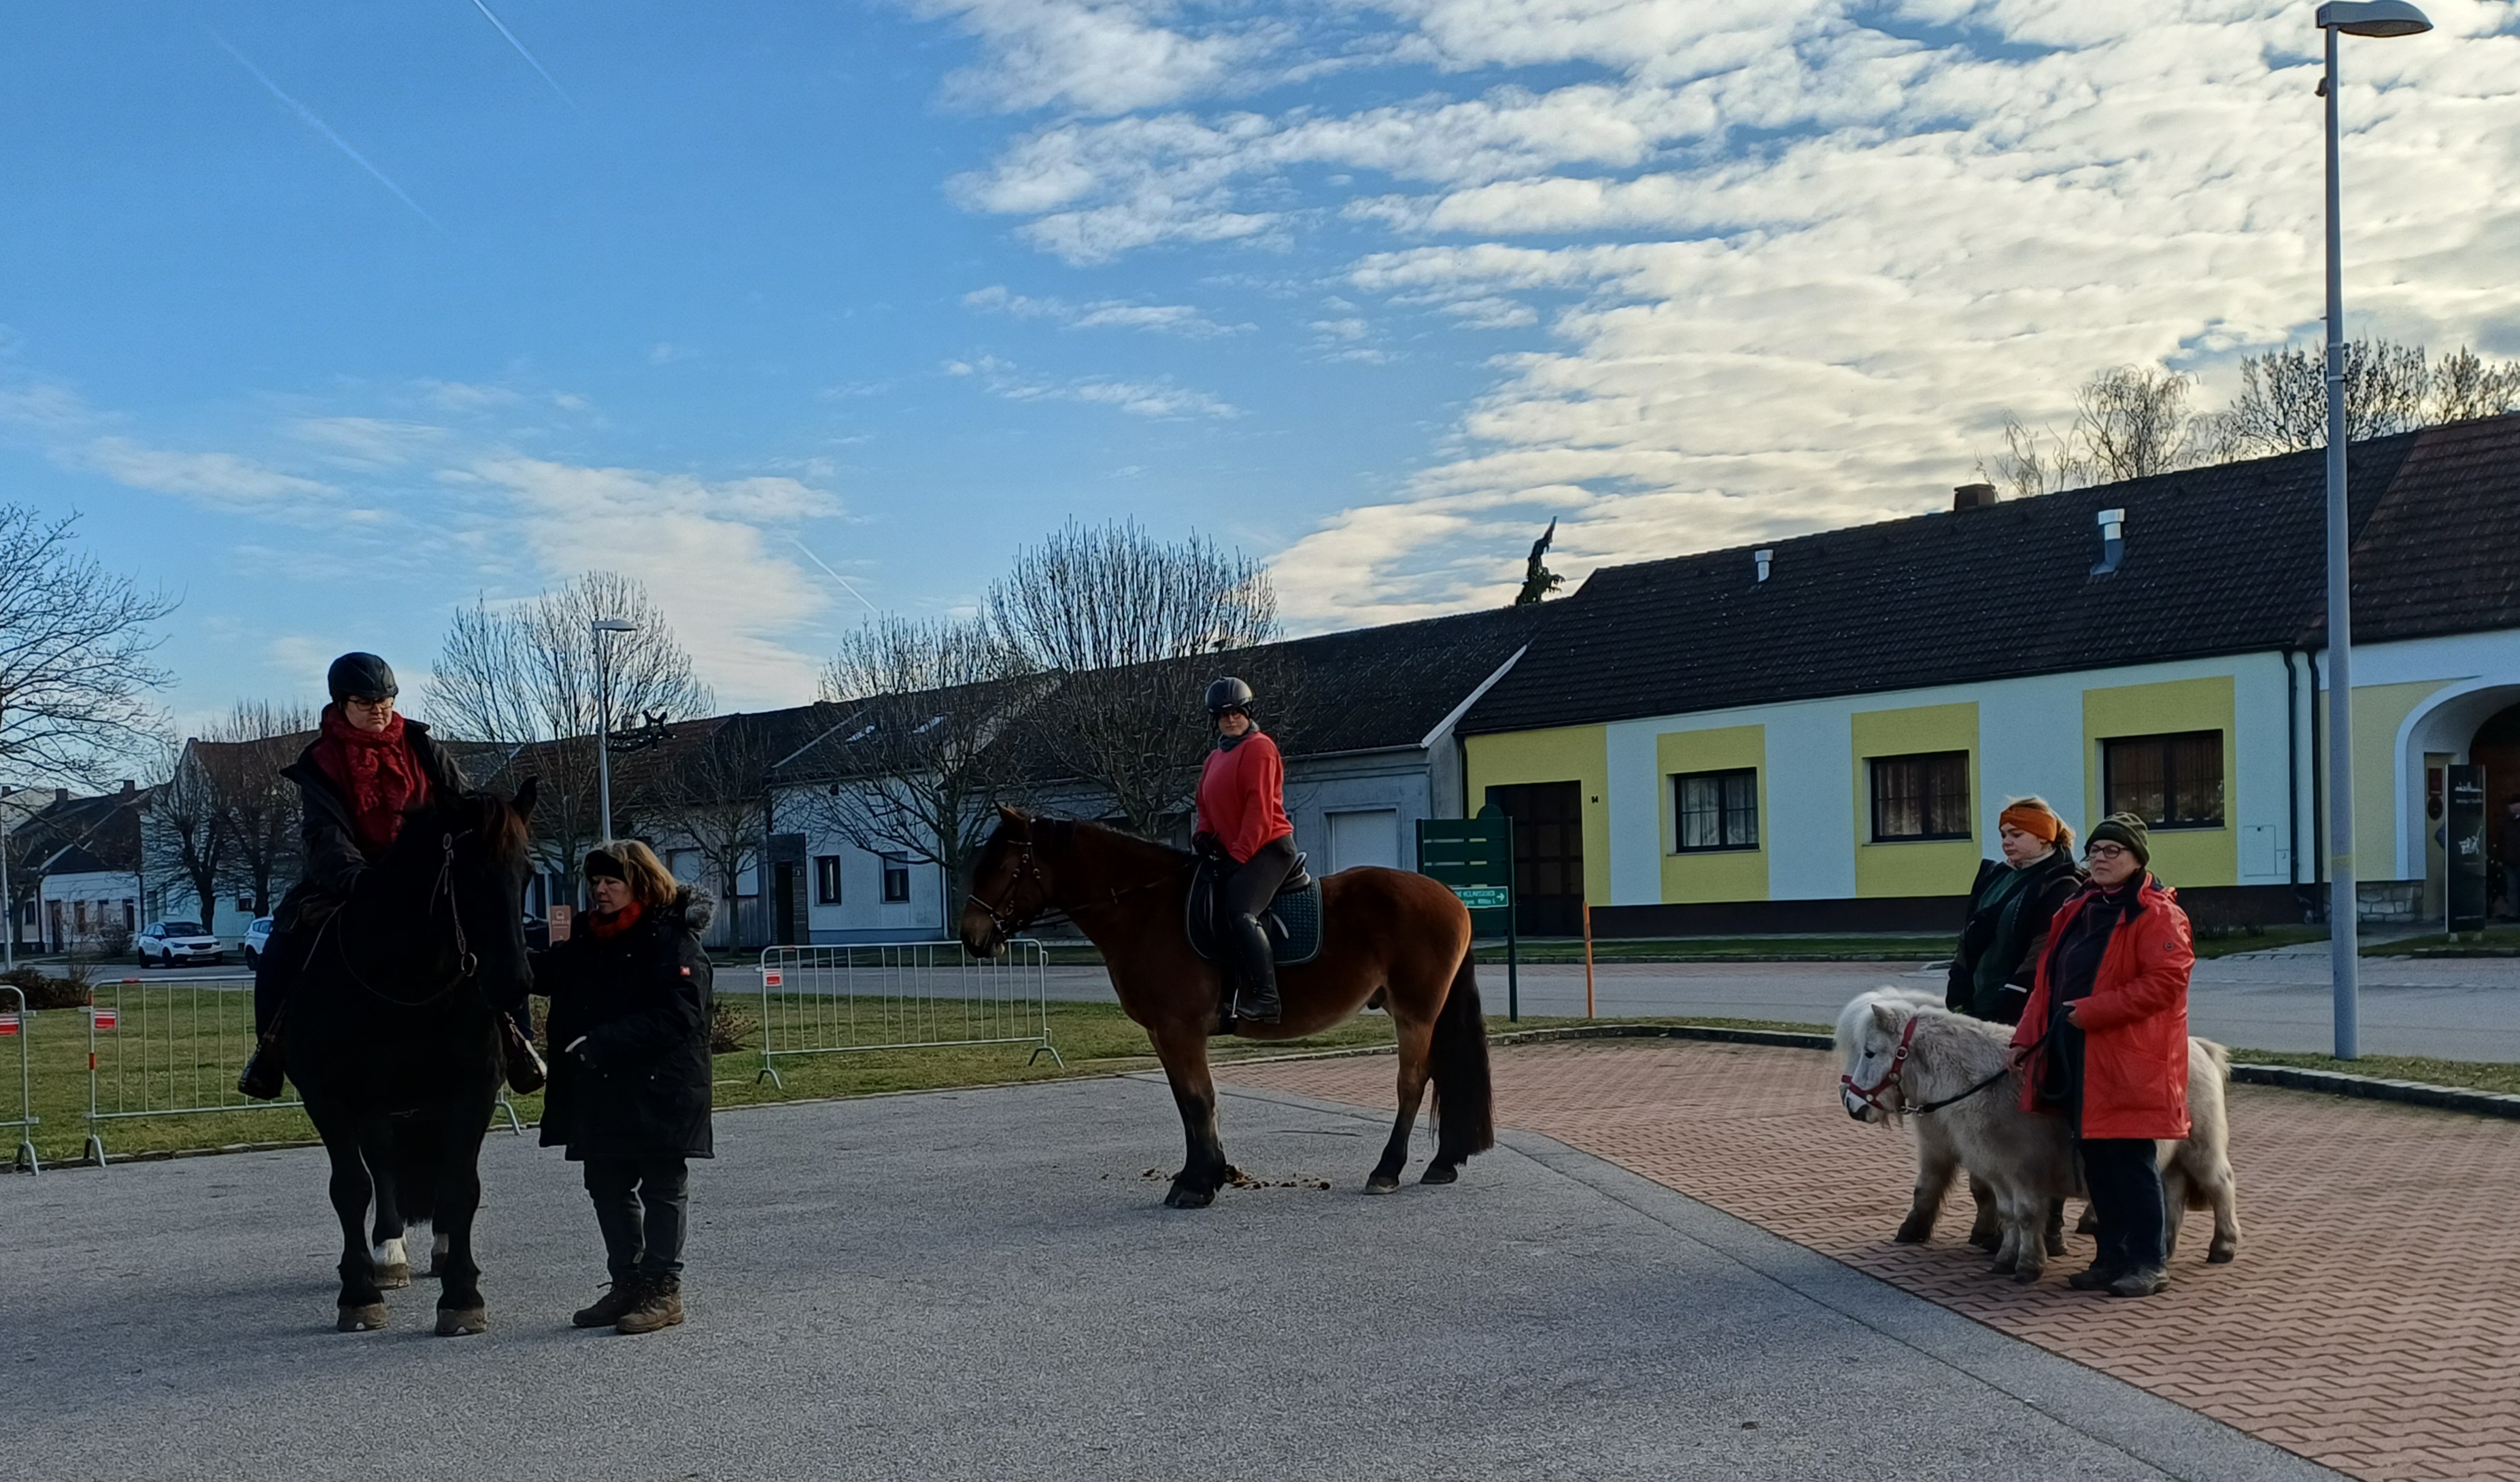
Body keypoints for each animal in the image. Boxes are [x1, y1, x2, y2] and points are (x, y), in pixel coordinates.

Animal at [285, 782, 537, 1334]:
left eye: (528, 872)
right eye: (469, 874)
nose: (514, 982)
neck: (406, 982)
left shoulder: (474, 1090)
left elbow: (461, 1185)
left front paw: (462, 1294)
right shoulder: (328, 1097)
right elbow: (352, 1187)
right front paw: (358, 1293)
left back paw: (440, 1247)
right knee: (381, 1163)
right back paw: (388, 1252)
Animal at [959, 807, 1493, 1208]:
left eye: (1001, 868)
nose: (971, 937)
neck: (1147, 910)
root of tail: (1451, 899)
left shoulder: (1181, 1029)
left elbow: (1200, 1101)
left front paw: (1199, 1184)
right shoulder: (1164, 1033)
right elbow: (1187, 1103)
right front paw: (1202, 1174)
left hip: (1416, 1014)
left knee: (1412, 1083)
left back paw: (1387, 1170)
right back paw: (1442, 1164)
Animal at [1836, 991, 2241, 1280]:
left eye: (1870, 1052)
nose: (1852, 1105)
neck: (1984, 1082)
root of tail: (2201, 1047)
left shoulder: (2023, 1172)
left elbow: (2029, 1214)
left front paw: (2029, 1266)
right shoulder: (1998, 1171)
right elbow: (2008, 1214)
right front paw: (2005, 1259)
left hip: (2202, 1149)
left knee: (2221, 1186)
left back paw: (2223, 1246)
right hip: (2171, 1158)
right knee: (2171, 1197)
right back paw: (2164, 1251)